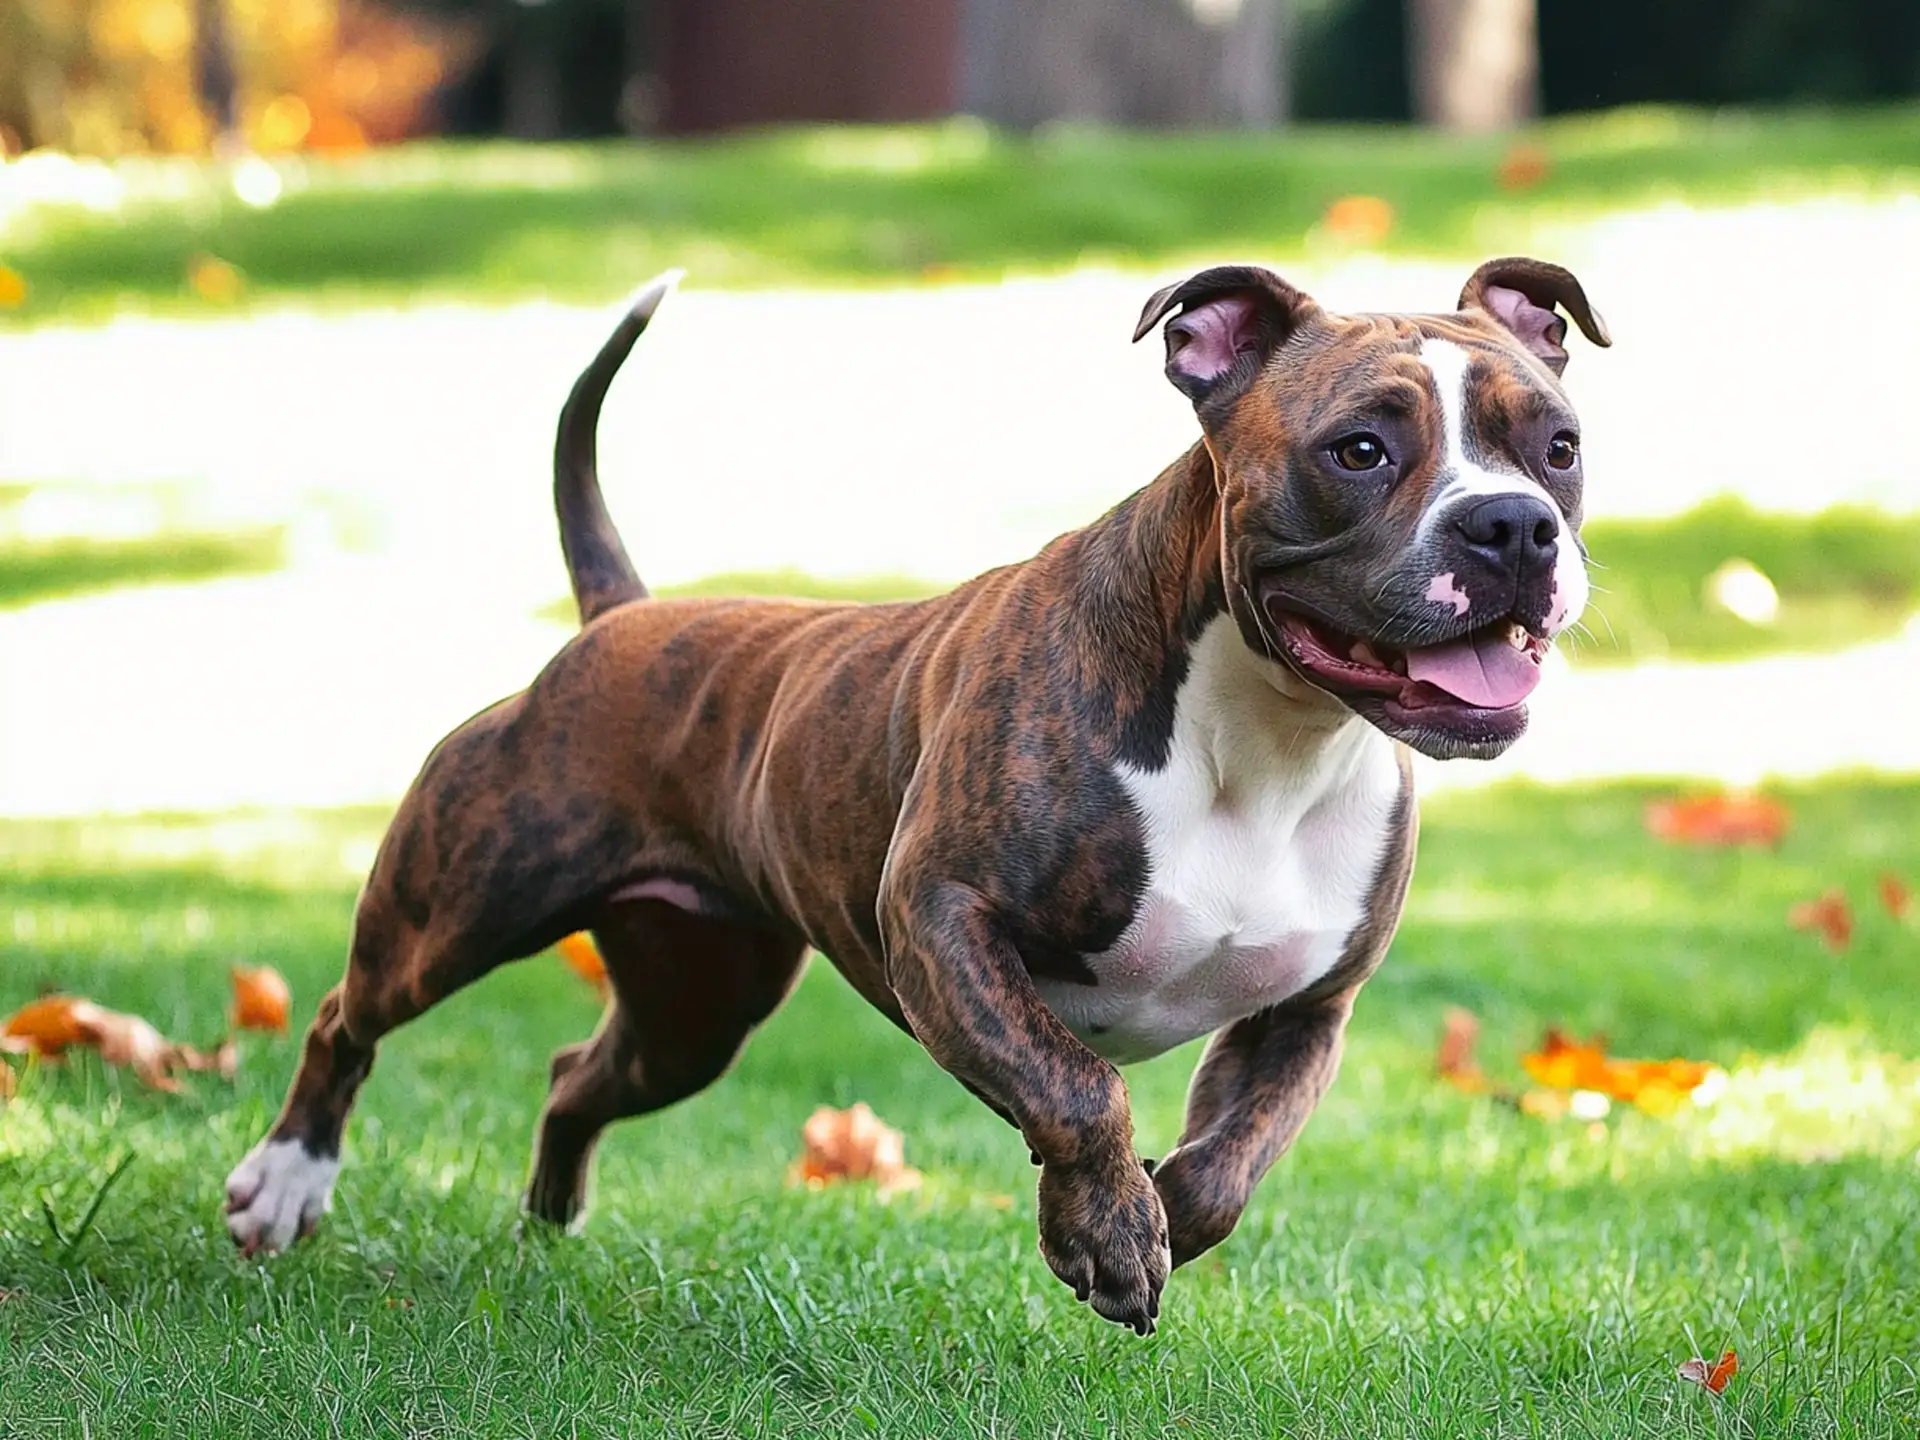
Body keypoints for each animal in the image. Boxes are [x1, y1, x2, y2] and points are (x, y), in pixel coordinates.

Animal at [224, 257, 1605, 1328]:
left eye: (1559, 447)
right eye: (1359, 450)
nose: (1511, 526)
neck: (1269, 739)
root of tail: (625, 617)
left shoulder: (1306, 1014)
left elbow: (1224, 1167)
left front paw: (1145, 1215)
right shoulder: (941, 920)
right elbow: (1077, 1086)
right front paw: (1105, 1231)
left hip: (693, 1008)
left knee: (575, 1075)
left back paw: (550, 1224)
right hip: (464, 897)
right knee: (345, 1018)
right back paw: (285, 1183)